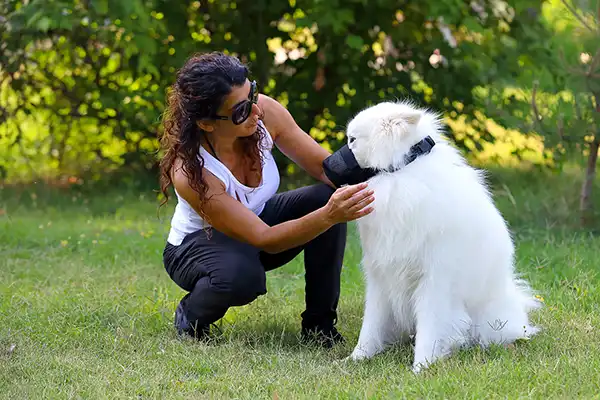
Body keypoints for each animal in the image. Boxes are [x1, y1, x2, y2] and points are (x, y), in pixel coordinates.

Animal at [344, 101, 540, 374]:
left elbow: (430, 326)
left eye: (352, 140)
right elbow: (371, 324)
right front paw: (358, 357)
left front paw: (421, 366)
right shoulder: (381, 275)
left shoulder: (434, 279)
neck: (399, 175)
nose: (326, 161)